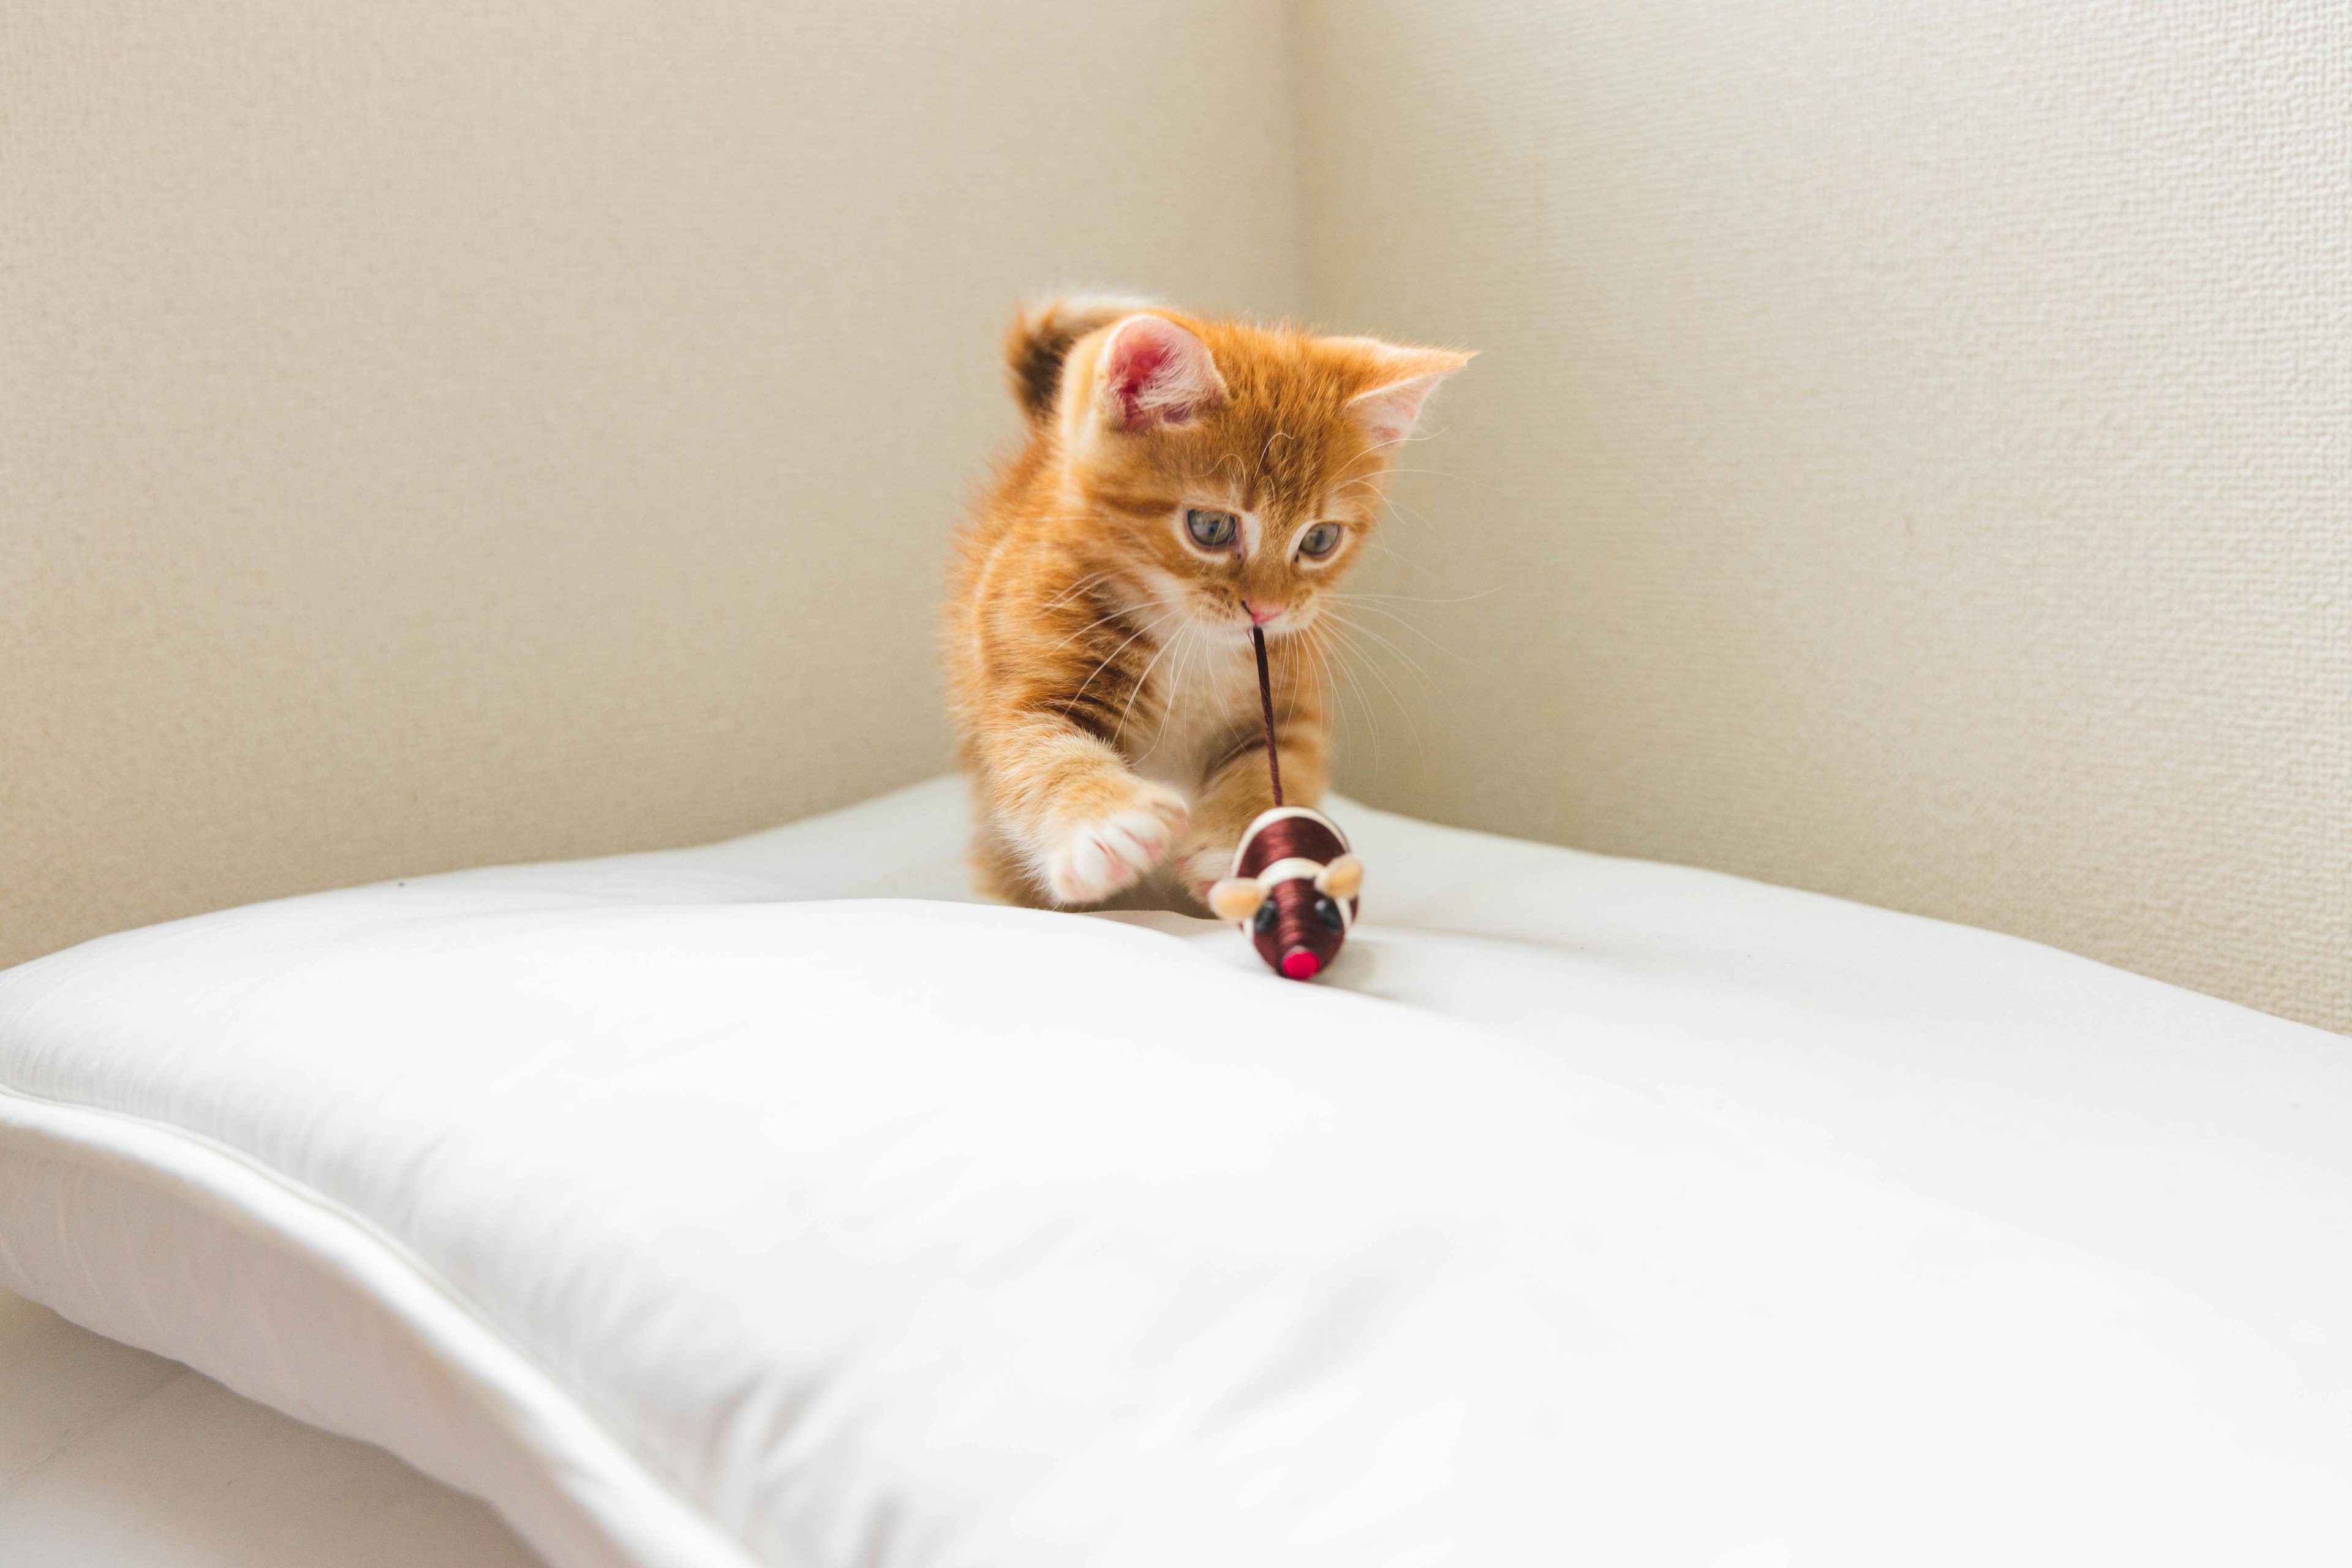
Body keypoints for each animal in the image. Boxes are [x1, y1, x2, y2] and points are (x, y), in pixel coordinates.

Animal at [941, 297, 1458, 907]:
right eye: (1210, 527)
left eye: (1320, 540)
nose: (1266, 610)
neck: (1191, 644)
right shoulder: (1024, 672)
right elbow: (1044, 753)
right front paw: (1106, 823)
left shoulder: (1292, 700)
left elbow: (1276, 768)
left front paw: (1243, 847)